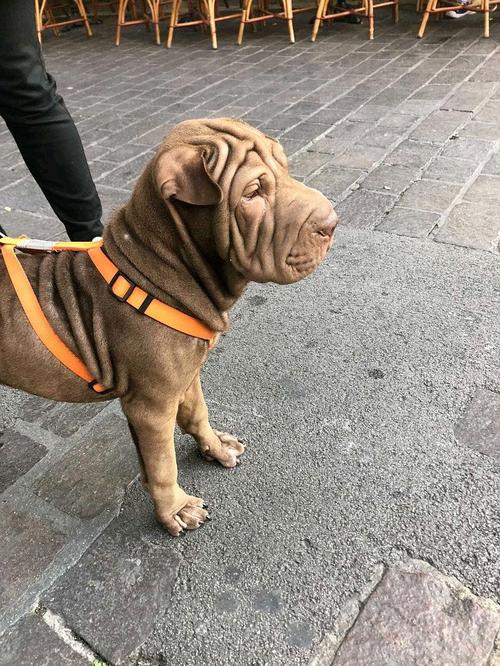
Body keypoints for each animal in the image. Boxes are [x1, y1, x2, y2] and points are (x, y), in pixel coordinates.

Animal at [0, 118, 337, 536]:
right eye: (253, 192)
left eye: (285, 168)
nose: (332, 223)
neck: (156, 267)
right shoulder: (150, 405)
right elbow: (162, 464)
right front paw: (175, 508)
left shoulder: (185, 375)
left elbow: (197, 413)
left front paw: (215, 447)